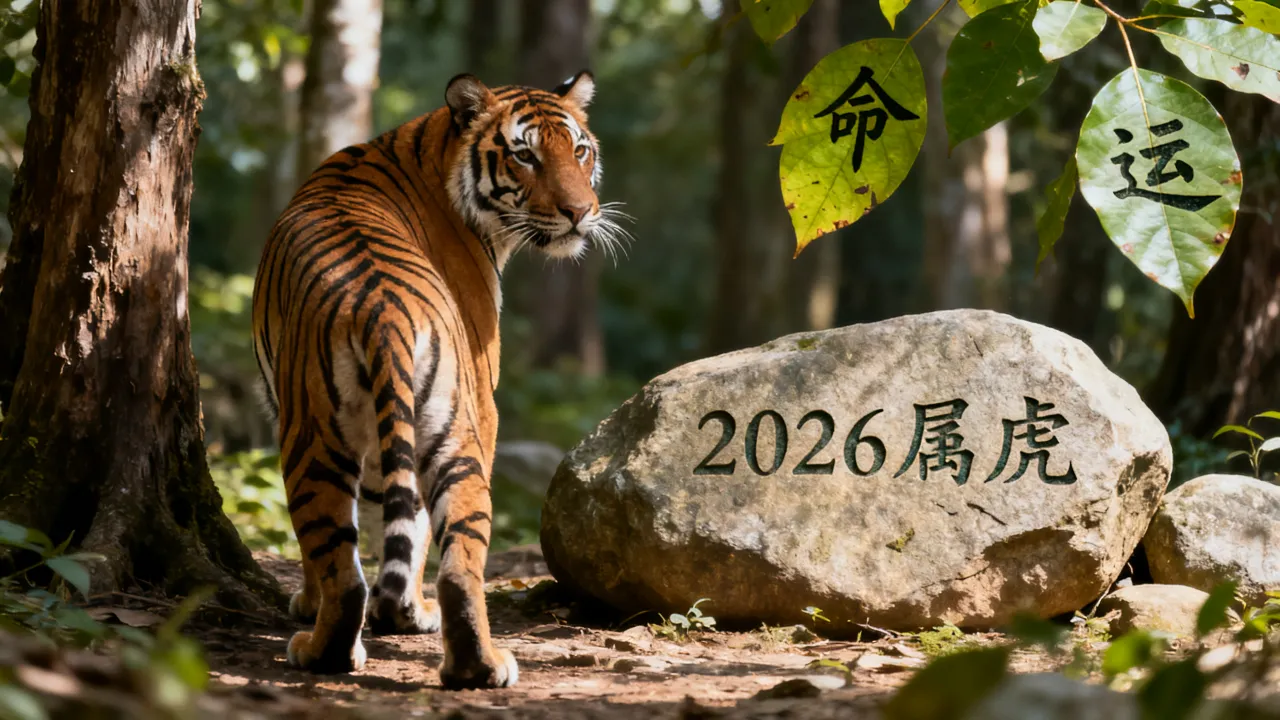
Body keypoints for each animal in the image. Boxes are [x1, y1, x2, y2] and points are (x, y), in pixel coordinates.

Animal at [250, 71, 624, 688]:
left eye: (578, 150)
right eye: (525, 155)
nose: (580, 212)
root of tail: (382, 309)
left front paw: (333, 604)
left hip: (319, 437)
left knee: (352, 564)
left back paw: (329, 645)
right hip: (442, 432)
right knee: (452, 562)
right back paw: (475, 664)